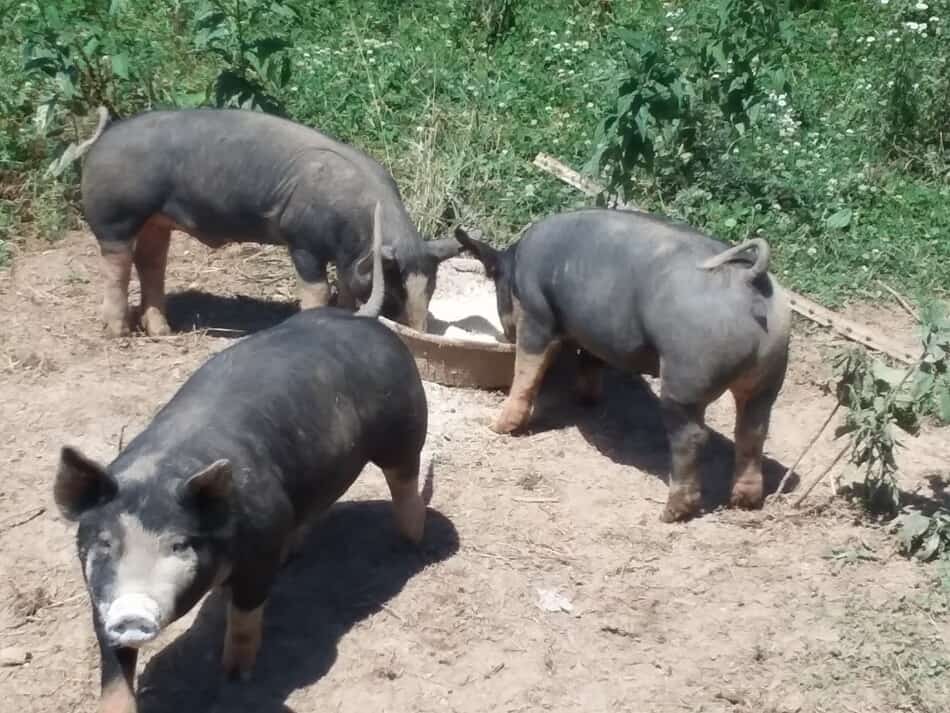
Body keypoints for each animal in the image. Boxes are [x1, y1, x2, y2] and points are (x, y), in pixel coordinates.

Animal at [52, 202, 432, 712]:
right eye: (105, 542)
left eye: (180, 544)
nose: (133, 613)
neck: (161, 471)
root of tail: (365, 318)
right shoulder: (99, 597)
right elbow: (113, 673)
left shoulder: (261, 542)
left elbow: (247, 615)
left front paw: (236, 677)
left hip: (405, 423)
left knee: (404, 482)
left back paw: (410, 544)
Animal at [73, 106, 462, 340]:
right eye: (395, 290)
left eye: (432, 289)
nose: (420, 331)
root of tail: (102, 138)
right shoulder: (302, 242)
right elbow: (317, 290)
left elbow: (347, 288)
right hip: (116, 217)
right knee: (117, 265)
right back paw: (118, 332)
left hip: (157, 221)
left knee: (151, 261)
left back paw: (162, 332)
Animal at [458, 206, 792, 524]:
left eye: (496, 284)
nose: (506, 335)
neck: (517, 267)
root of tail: (748, 279)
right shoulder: (595, 330)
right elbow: (589, 361)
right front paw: (586, 399)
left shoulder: (537, 314)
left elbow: (526, 372)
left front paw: (497, 427)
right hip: (769, 375)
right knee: (753, 430)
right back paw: (745, 502)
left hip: (686, 377)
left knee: (692, 437)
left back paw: (670, 513)